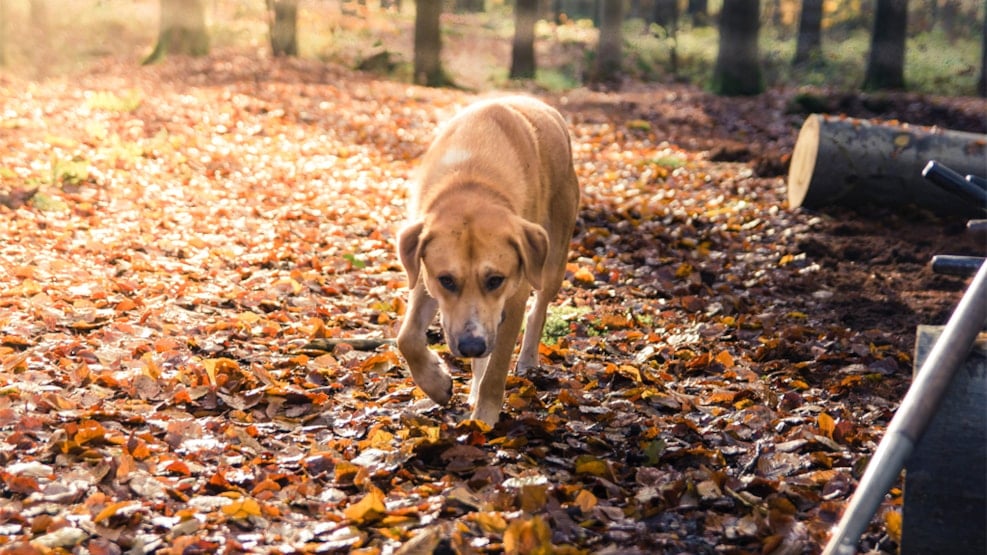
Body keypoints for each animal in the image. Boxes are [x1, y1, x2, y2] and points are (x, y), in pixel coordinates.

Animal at [394, 96, 580, 426]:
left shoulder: (513, 297)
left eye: (496, 280)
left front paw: (484, 417)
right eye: (447, 280)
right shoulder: (423, 278)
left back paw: (526, 359)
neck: (472, 178)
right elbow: (407, 338)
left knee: (540, 307)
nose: (471, 346)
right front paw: (437, 384)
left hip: (554, 256)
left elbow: (497, 366)